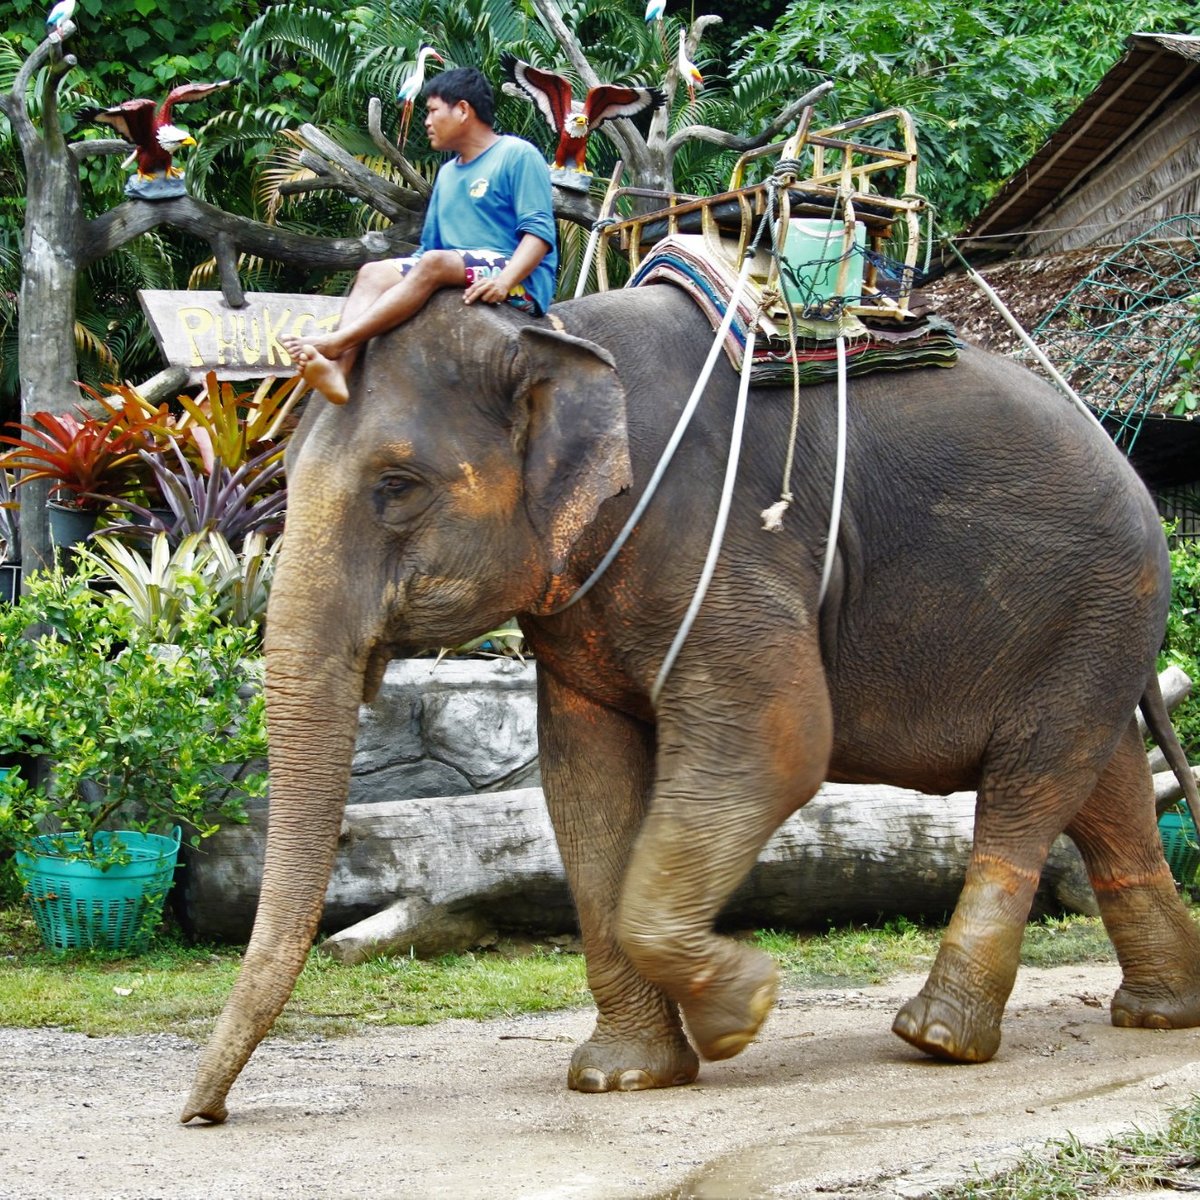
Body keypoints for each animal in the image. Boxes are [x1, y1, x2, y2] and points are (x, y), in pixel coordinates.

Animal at [180, 283, 1200, 1123]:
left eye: (396, 487)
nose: (203, 1116)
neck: (555, 333)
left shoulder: (716, 535)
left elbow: (779, 744)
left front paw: (744, 1010)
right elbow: (583, 785)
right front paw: (623, 1078)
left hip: (1097, 602)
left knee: (1031, 789)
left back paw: (937, 1040)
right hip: (1092, 628)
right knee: (1102, 788)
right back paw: (1160, 1014)